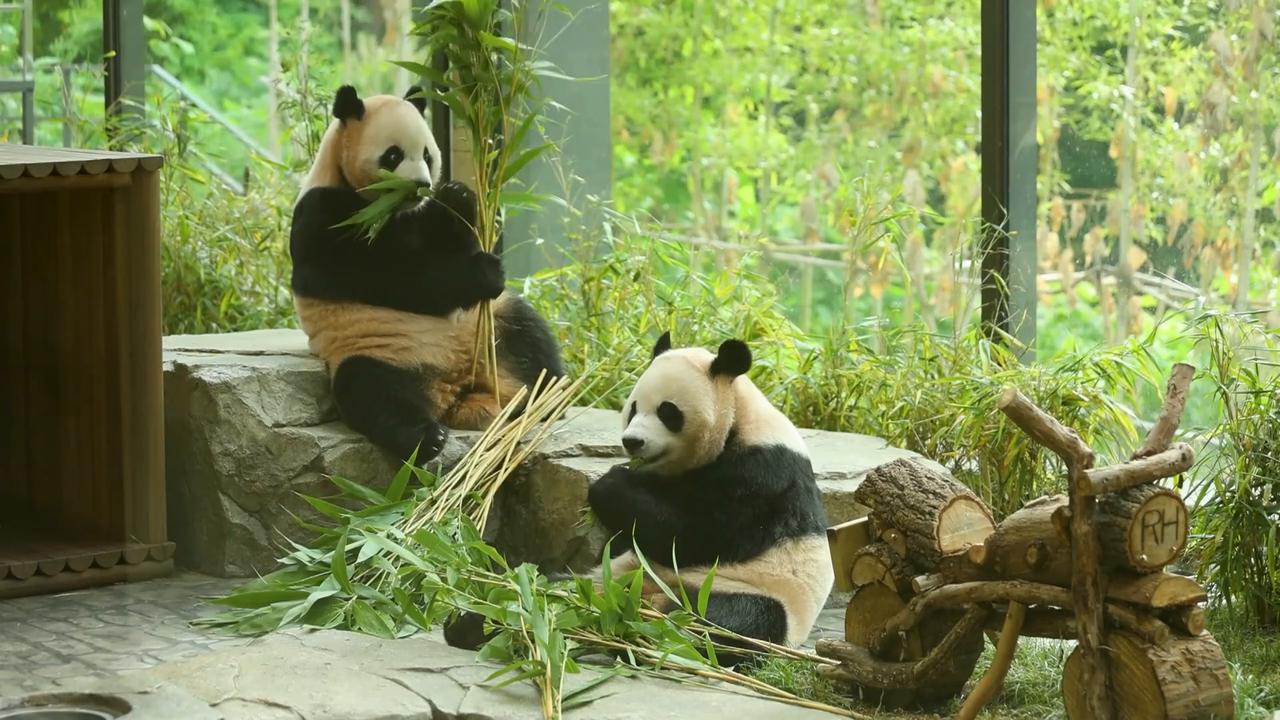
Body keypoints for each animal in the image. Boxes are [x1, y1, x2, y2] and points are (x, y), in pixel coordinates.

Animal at [289, 84, 564, 463]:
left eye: (428, 155)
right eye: (393, 155)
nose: (421, 184)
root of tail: (456, 386)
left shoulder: (416, 215)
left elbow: (447, 239)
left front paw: (458, 197)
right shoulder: (323, 214)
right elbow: (388, 277)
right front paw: (483, 272)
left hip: (489, 329)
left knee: (529, 334)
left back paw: (549, 396)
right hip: (379, 350)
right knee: (371, 391)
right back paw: (426, 437)